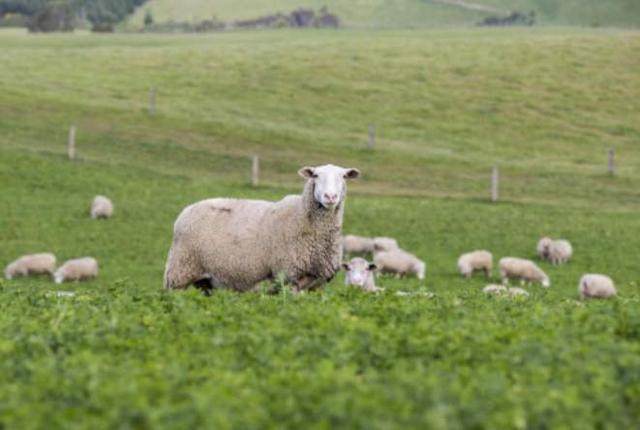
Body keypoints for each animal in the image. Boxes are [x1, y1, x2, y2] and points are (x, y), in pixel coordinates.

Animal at [164, 164, 360, 292]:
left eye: (343, 176)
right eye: (315, 175)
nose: (330, 196)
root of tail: (187, 210)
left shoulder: (318, 284)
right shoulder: (289, 277)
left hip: (207, 281)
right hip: (179, 272)